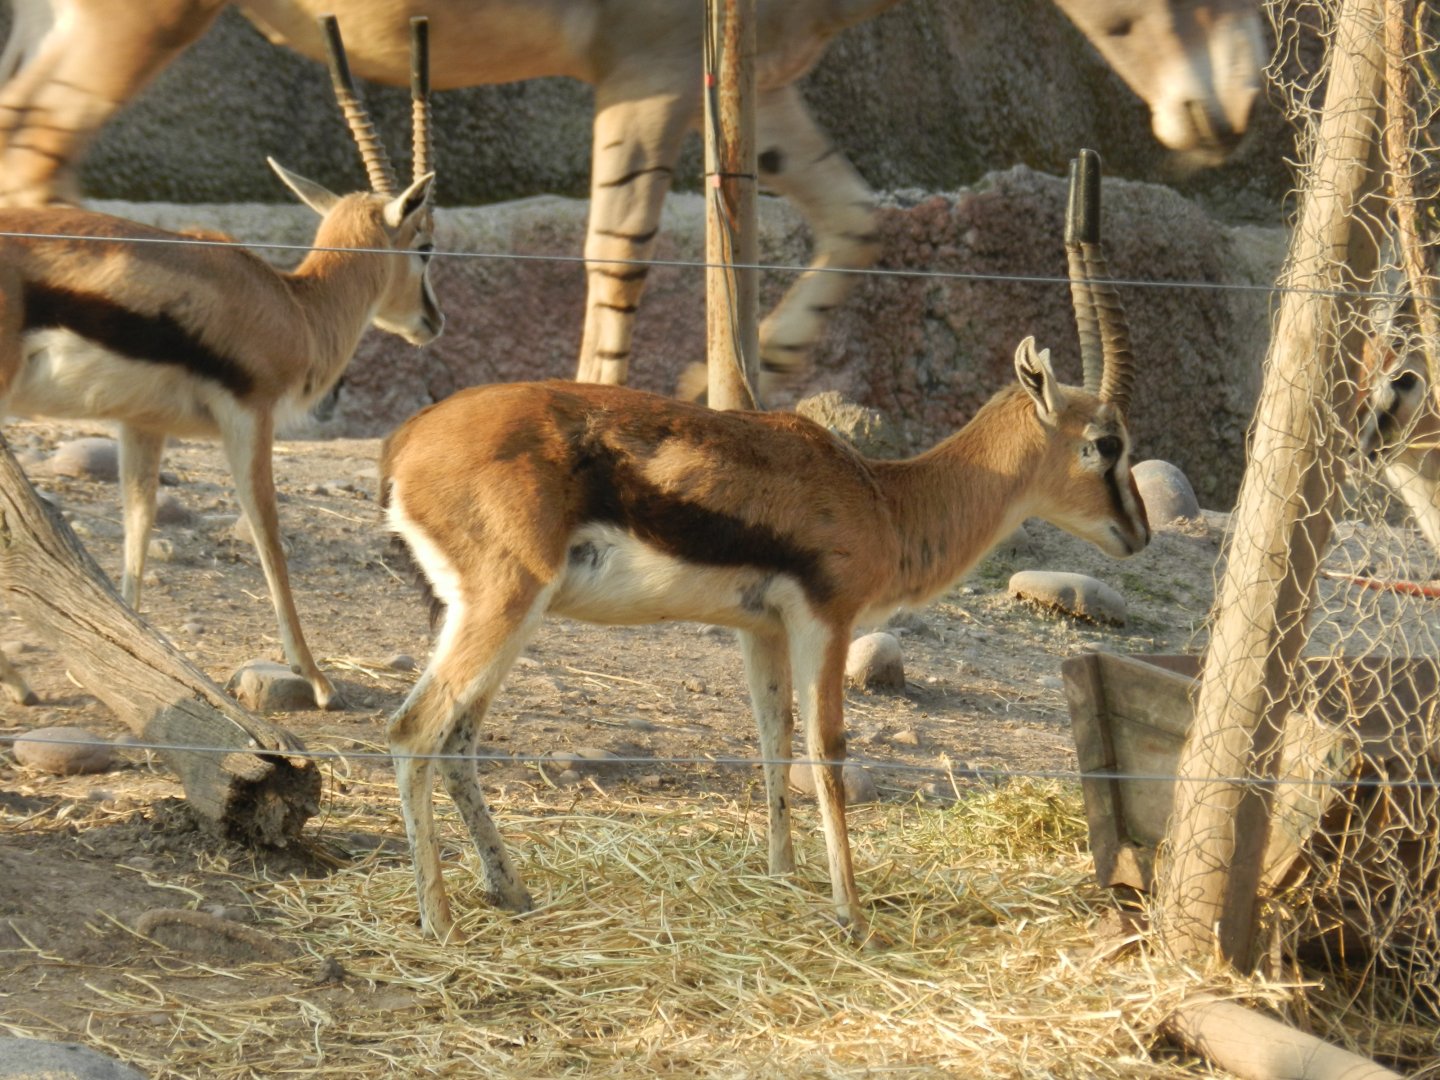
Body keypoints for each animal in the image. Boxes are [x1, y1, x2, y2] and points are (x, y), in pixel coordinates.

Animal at [0, 1, 1264, 397]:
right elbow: (622, 249)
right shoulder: (653, 71)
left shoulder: (757, 79)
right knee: (35, 159)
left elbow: (855, 217)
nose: (1231, 110)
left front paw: (739, 369)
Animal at [0, 16, 442, 710]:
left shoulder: (140, 426)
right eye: (424, 246)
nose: (433, 322)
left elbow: (137, 530)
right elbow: (269, 537)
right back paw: (18, 684)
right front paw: (318, 681)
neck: (293, 304)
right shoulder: (250, 419)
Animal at [378, 150, 1150, 942]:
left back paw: (511, 893)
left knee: (458, 741)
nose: (1139, 532)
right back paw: (439, 923)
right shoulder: (826, 621)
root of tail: (406, 444)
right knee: (412, 731)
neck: (881, 496)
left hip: (491, 617)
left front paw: (782, 876)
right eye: (1105, 443)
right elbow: (826, 750)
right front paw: (852, 913)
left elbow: (772, 737)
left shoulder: (760, 630)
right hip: (503, 607)